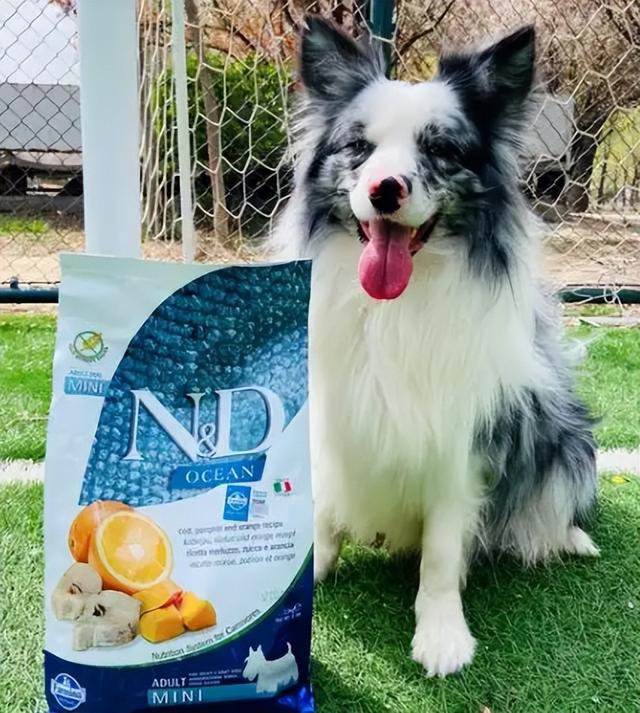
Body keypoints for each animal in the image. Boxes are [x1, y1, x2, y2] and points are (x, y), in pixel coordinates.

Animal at [271, 17, 599, 677]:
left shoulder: (462, 440)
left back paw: (567, 536)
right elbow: (323, 514)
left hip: (565, 439)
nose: (385, 189)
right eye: (359, 147)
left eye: (441, 149)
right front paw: (308, 580)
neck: (393, 307)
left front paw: (443, 633)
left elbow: (444, 551)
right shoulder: (332, 424)